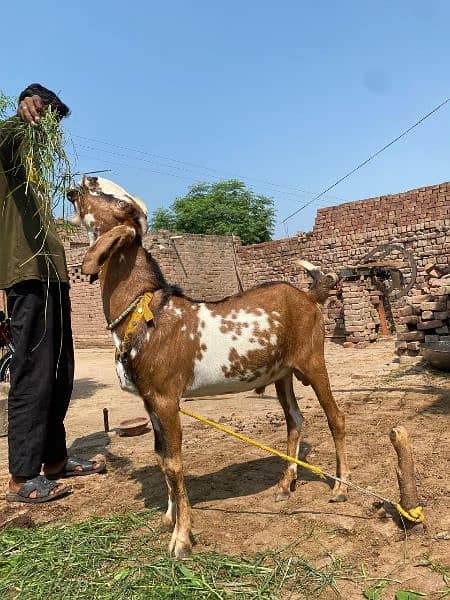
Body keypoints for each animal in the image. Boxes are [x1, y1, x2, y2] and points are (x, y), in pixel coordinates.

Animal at [68, 177, 350, 556]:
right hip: (282, 373)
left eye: (121, 203)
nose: (84, 181)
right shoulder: (149, 400)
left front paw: (181, 537)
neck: (143, 310)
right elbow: (160, 456)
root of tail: (309, 295)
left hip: (313, 360)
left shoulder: (166, 397)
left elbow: (174, 462)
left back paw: (341, 487)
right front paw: (169, 516)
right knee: (295, 420)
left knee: (336, 417)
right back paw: (285, 484)